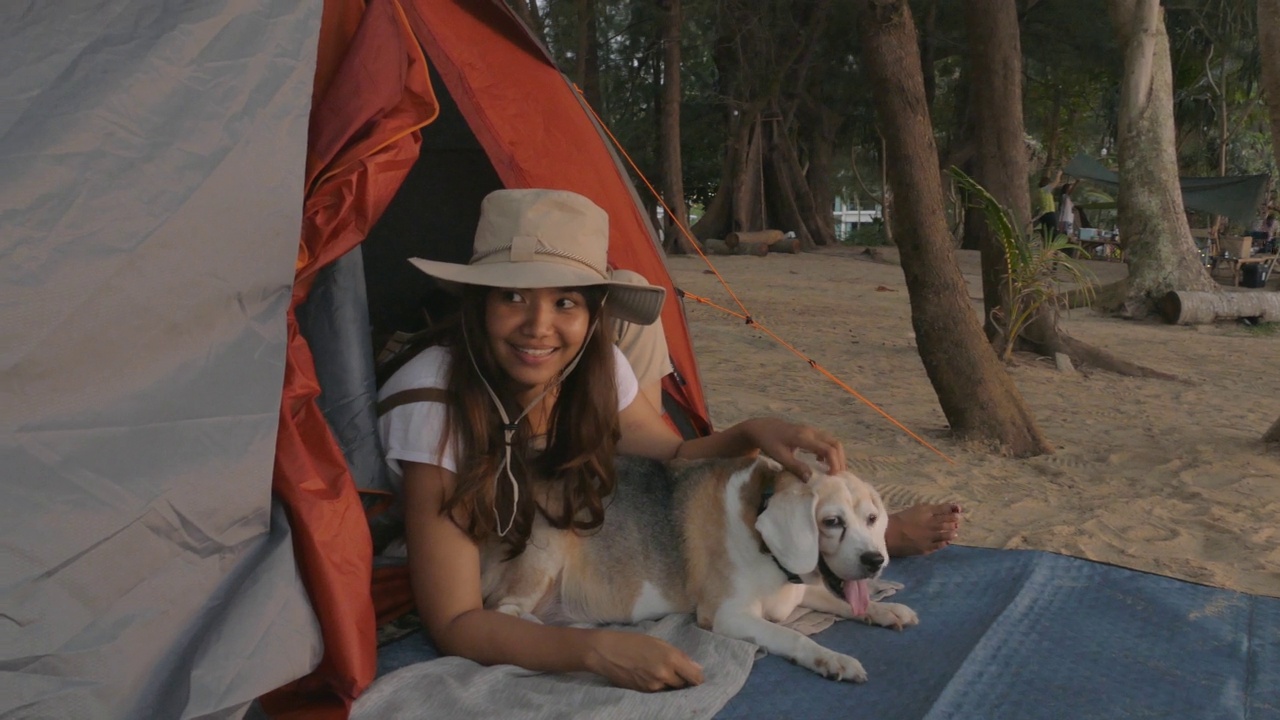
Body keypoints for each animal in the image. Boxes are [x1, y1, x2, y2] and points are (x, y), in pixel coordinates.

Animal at [481, 450, 921, 681]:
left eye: (871, 519)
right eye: (831, 522)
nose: (875, 561)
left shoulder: (800, 593)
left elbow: (847, 603)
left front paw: (885, 609)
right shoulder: (727, 616)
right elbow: (794, 637)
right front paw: (832, 659)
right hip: (546, 548)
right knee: (505, 611)